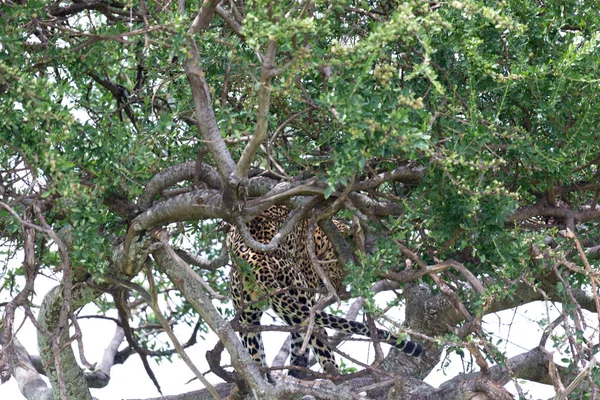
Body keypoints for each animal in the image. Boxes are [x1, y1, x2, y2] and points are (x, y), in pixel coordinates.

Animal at [227, 205, 424, 380]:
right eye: (341, 268)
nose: (338, 289)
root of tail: (256, 257)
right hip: (296, 292)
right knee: (317, 333)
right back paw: (334, 376)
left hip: (250, 311)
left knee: (255, 346)